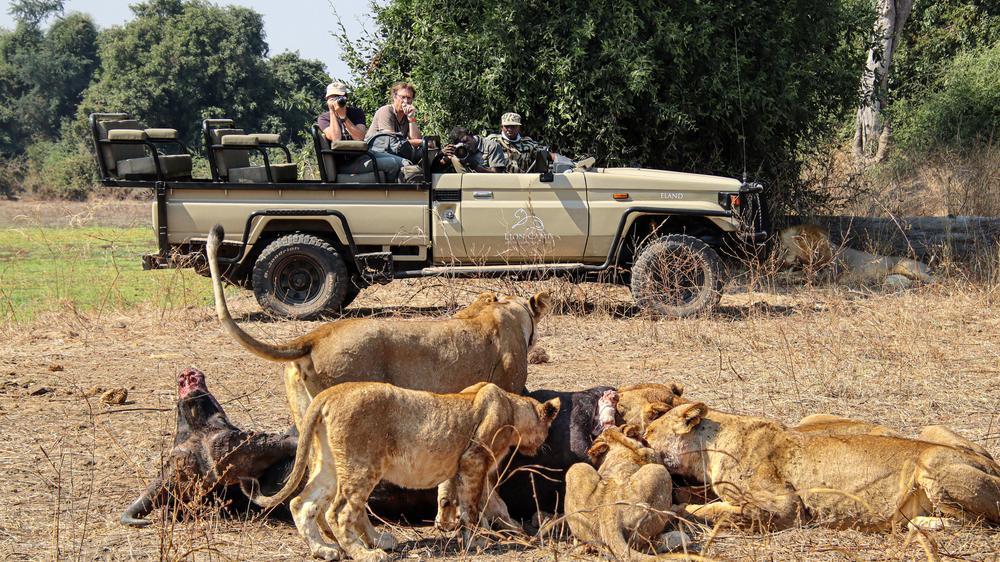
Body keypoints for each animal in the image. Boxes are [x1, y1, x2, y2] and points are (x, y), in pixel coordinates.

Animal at [249, 381, 560, 561]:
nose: (544, 443)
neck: (512, 405)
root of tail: (328, 394)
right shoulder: (475, 459)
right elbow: (477, 504)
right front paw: (480, 539)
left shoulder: (459, 464)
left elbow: (460, 496)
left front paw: (450, 523)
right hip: (362, 466)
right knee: (339, 513)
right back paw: (365, 553)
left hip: (330, 465)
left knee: (302, 503)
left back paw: (324, 550)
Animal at [642, 402, 1000, 531]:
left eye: (648, 433)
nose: (639, 439)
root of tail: (993, 466)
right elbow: (704, 497)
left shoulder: (786, 508)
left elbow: (716, 511)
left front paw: (681, 508)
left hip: (932, 462)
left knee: (978, 522)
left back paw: (917, 523)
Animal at [778, 224, 933, 287]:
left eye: (785, 249)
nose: (776, 262)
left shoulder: (827, 276)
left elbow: (800, 275)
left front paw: (783, 276)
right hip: (893, 277)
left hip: (907, 267)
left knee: (934, 278)